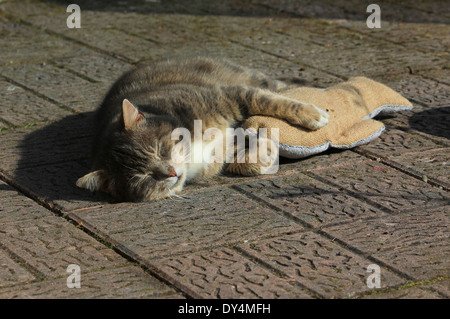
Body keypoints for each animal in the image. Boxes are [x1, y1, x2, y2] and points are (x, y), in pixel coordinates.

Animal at [77, 57, 328, 202]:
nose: (170, 172)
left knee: (277, 88)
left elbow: (267, 101)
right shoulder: (219, 153)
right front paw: (263, 154)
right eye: (142, 178)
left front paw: (313, 115)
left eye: (158, 149)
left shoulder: (225, 96)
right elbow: (241, 160)